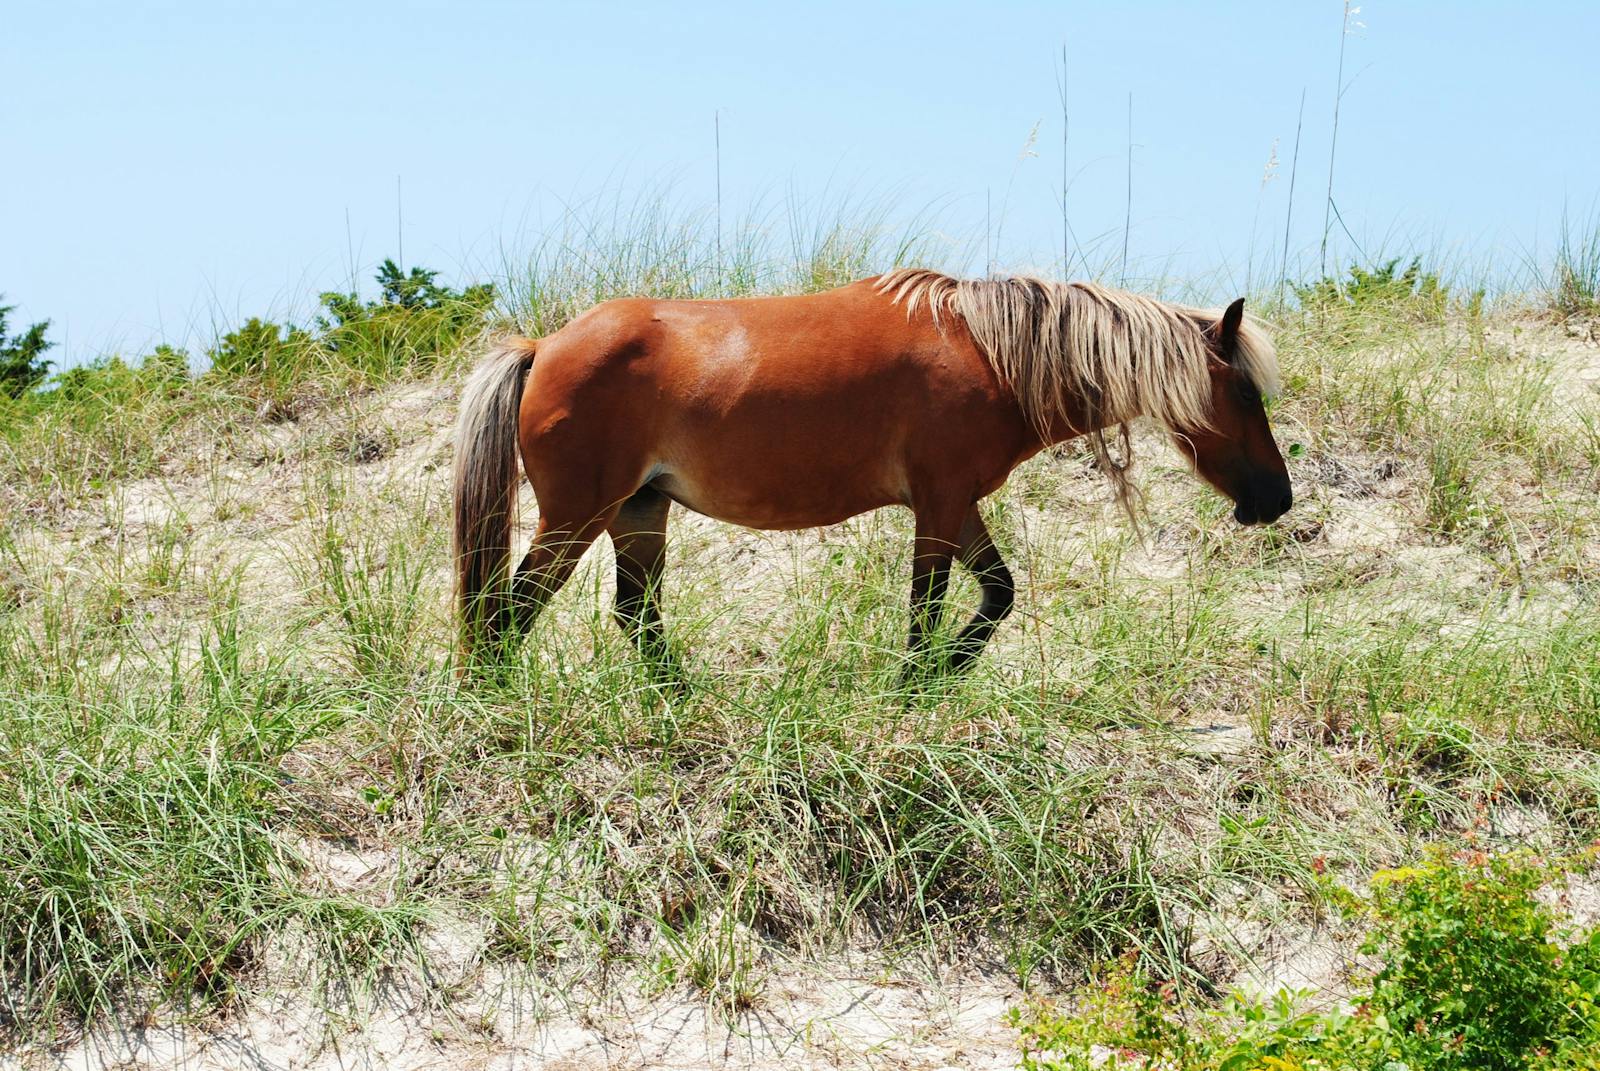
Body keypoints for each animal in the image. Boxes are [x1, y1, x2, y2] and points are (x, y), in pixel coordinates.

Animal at [448, 272, 1286, 675]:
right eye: (1246, 392)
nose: (1277, 498)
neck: (989, 354)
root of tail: (544, 346)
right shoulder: (938, 505)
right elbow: (926, 610)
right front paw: (914, 687)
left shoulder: (957, 504)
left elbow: (998, 595)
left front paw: (944, 674)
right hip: (578, 515)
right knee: (507, 613)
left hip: (639, 511)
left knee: (634, 617)